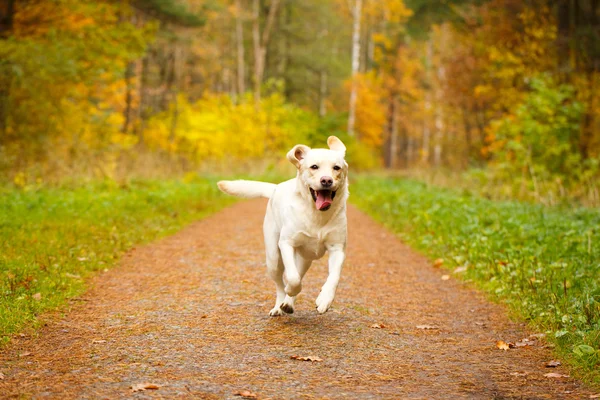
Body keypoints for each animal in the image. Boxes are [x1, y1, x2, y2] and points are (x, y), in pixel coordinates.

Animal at [217, 137, 350, 316]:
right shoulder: (287, 243)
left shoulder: (337, 248)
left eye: (336, 168)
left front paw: (325, 299)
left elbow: (334, 277)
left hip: (304, 259)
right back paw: (279, 305)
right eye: (314, 167)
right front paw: (291, 290)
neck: (317, 215)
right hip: (273, 258)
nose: (326, 180)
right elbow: (292, 279)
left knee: (299, 273)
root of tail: (276, 187)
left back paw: (288, 303)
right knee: (281, 283)